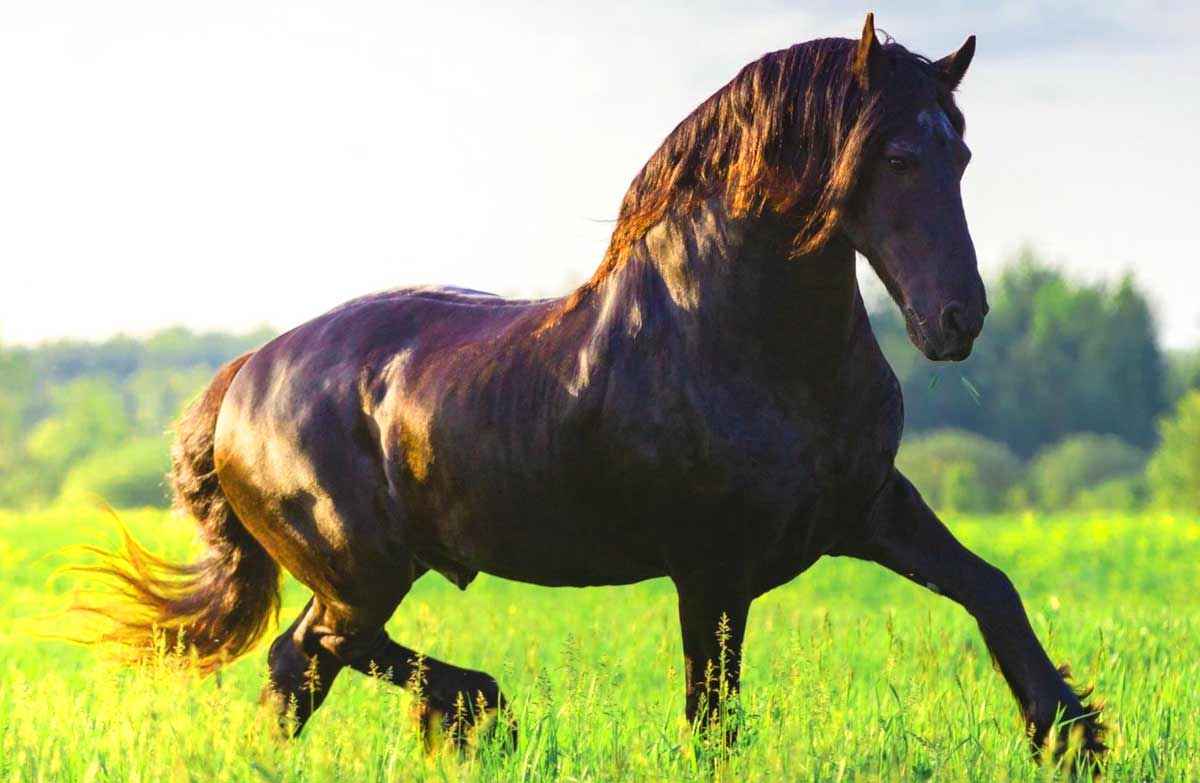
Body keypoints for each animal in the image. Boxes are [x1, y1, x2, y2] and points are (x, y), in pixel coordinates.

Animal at [76, 13, 1104, 765]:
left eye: (959, 154)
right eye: (893, 158)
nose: (958, 319)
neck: (737, 341)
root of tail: (243, 377)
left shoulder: (868, 509)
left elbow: (991, 589)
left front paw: (1072, 734)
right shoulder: (713, 568)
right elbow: (712, 717)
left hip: (361, 572)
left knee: (301, 665)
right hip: (362, 567)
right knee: (321, 650)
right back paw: (481, 711)